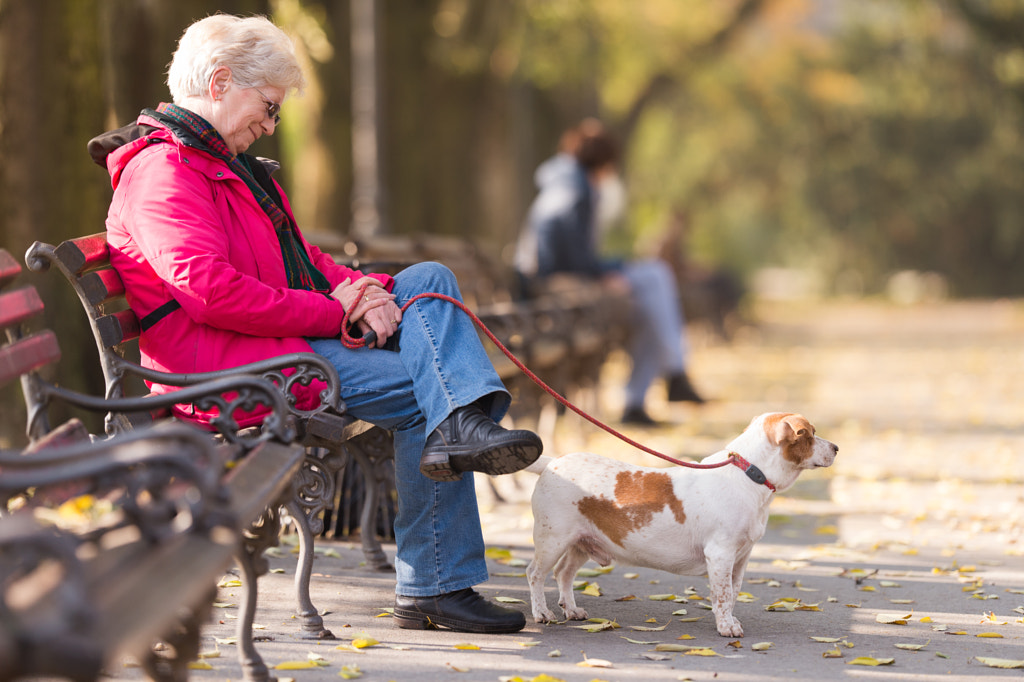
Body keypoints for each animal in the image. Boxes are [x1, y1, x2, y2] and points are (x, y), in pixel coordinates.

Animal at [524, 409, 835, 638]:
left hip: (581, 544)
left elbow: (732, 593)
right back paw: (542, 614)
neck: (749, 476)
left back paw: (572, 610)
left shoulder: (741, 557)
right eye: (809, 433)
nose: (837, 447)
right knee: (535, 574)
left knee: (563, 574)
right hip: (552, 541)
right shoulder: (721, 554)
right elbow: (722, 595)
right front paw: (727, 627)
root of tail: (551, 463)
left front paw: (729, 619)